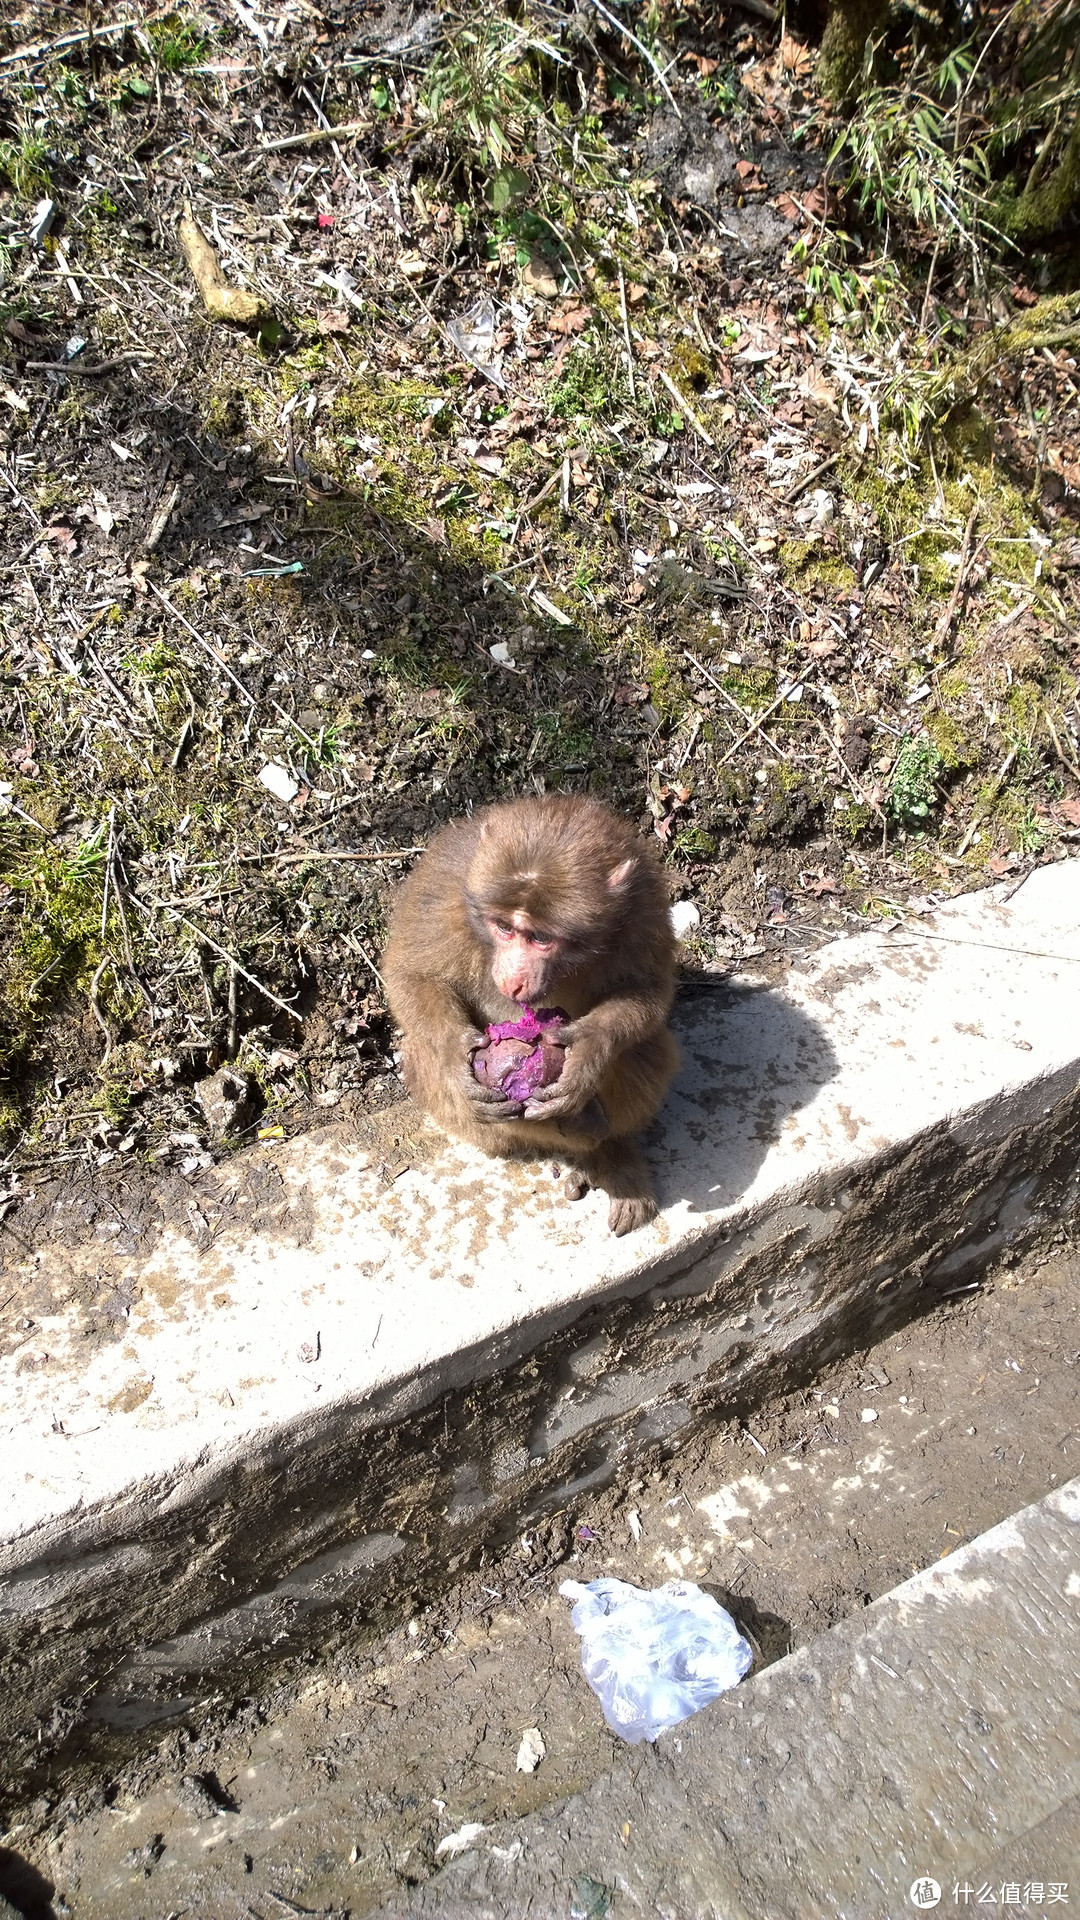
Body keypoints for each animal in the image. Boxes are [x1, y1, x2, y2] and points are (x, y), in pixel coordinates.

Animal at [382, 791, 676, 1228]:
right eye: (504, 928)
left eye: (540, 938)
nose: (514, 980)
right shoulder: (443, 887)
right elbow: (410, 976)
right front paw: (455, 1053)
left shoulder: (643, 908)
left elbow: (649, 991)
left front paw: (588, 1050)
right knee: (421, 1050)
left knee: (647, 1046)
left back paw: (602, 1140)